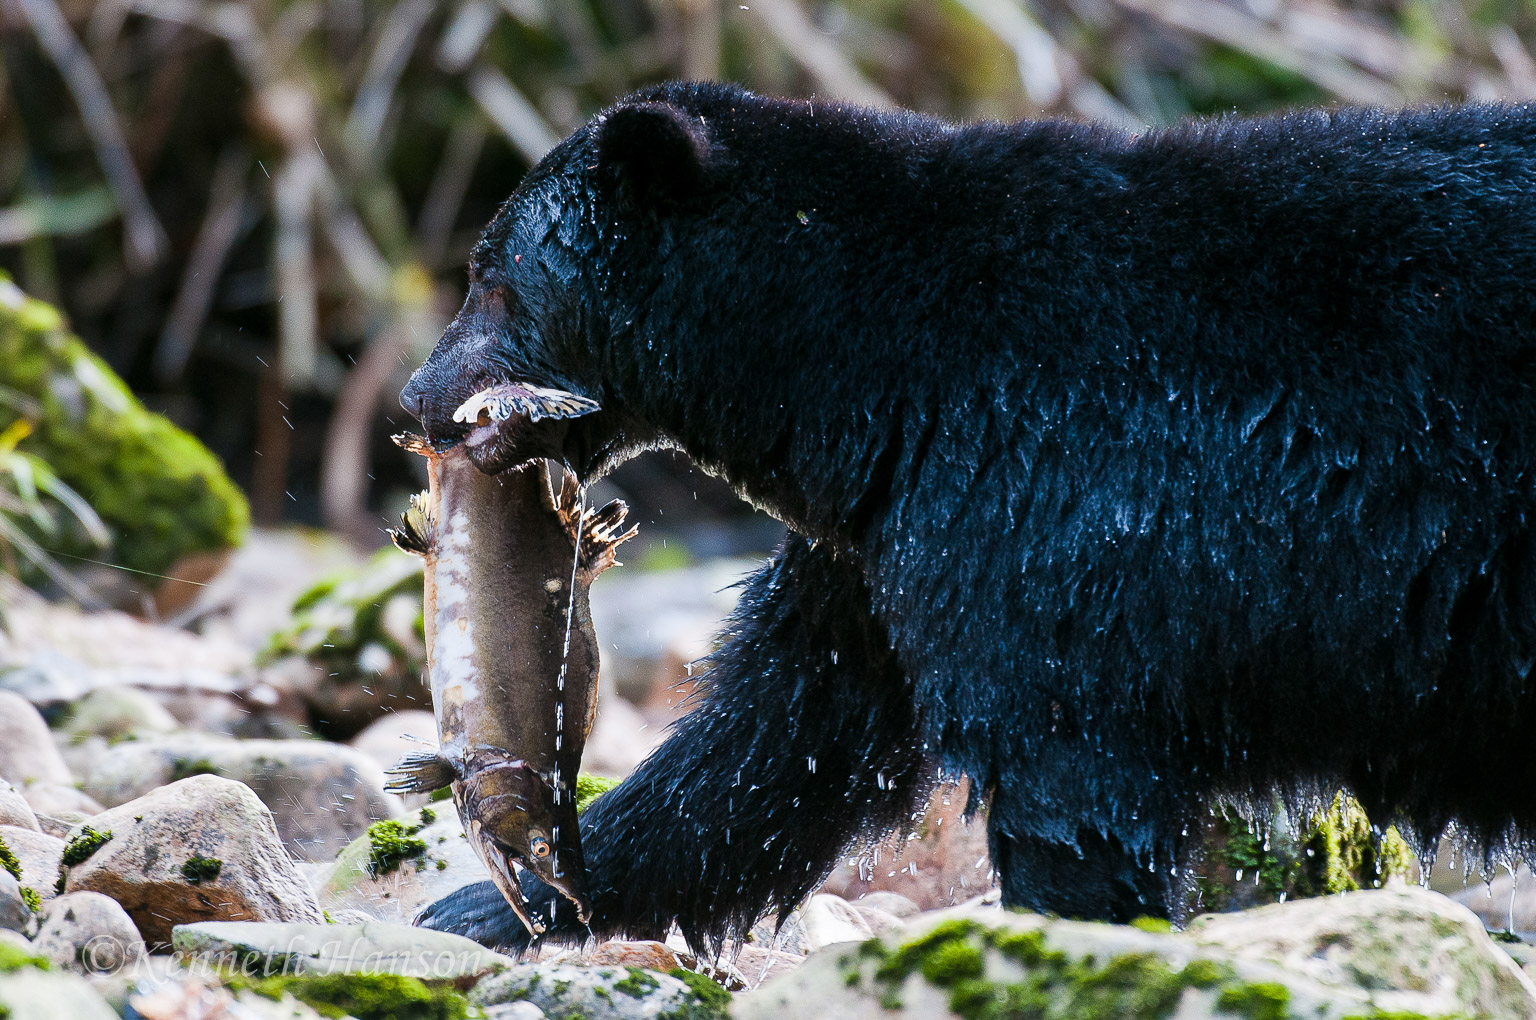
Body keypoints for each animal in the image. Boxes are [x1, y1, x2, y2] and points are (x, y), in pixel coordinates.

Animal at [399, 83, 1536, 952]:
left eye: (493, 278)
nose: (417, 397)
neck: (875, 371)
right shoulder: (885, 543)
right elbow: (773, 737)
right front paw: (493, 907)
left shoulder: (1063, 504)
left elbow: (1064, 774)